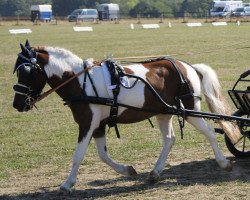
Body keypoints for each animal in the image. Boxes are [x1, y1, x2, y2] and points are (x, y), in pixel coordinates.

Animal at [12, 41, 240, 193]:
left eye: (26, 71)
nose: (17, 104)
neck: (81, 82)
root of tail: (188, 67)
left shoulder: (87, 123)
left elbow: (78, 156)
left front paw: (67, 184)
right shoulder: (98, 125)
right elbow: (103, 155)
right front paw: (127, 170)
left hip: (190, 110)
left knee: (209, 132)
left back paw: (223, 163)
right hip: (164, 112)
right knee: (169, 139)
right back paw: (155, 173)